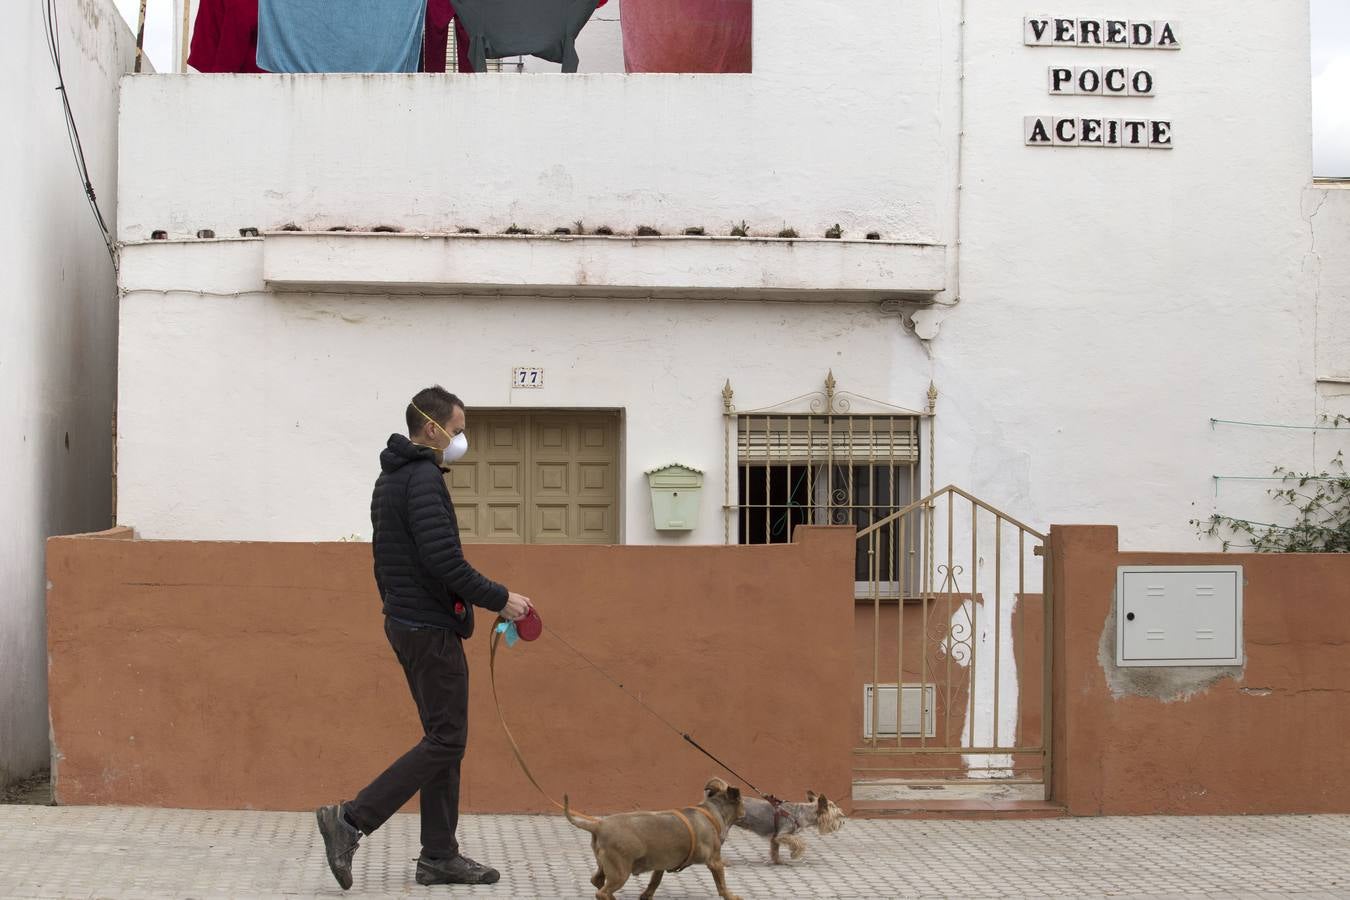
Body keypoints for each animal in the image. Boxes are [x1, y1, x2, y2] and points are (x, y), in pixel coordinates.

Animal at [561, 777, 745, 895]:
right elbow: (722, 887)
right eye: (742, 801)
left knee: (597, 882)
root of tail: (599, 825)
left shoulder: (660, 866)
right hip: (620, 872)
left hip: (605, 867)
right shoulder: (715, 862)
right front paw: (732, 895)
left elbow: (652, 885)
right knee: (602, 893)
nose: (745, 812)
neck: (712, 812)